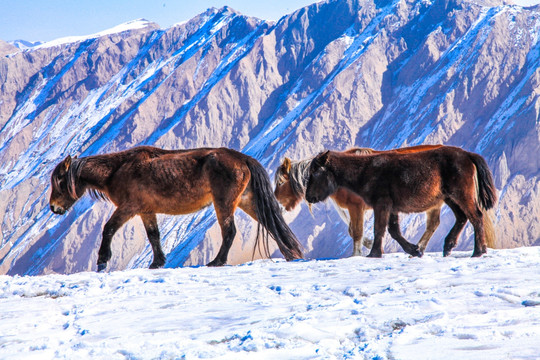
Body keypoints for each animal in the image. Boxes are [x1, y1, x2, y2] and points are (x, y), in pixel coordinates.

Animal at [49, 146, 304, 270]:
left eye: (59, 180)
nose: (54, 208)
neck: (118, 169)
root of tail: (242, 159)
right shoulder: (146, 211)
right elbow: (154, 236)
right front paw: (157, 262)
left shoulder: (129, 207)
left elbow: (109, 228)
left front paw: (102, 260)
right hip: (247, 201)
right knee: (271, 223)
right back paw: (290, 254)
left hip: (224, 203)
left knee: (229, 231)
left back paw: (217, 261)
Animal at [274, 143, 442, 256]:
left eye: (281, 182)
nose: (277, 204)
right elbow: (353, 231)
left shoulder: (356, 207)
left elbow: (356, 232)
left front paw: (357, 254)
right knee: (433, 224)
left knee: (432, 224)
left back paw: (418, 248)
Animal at [306, 147, 496, 258]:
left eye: (315, 172)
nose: (309, 197)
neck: (366, 170)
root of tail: (468, 155)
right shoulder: (391, 208)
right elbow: (394, 231)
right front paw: (415, 250)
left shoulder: (381, 205)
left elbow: (379, 229)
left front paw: (374, 254)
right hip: (450, 198)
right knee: (462, 218)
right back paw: (448, 246)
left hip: (461, 196)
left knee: (475, 217)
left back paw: (478, 252)